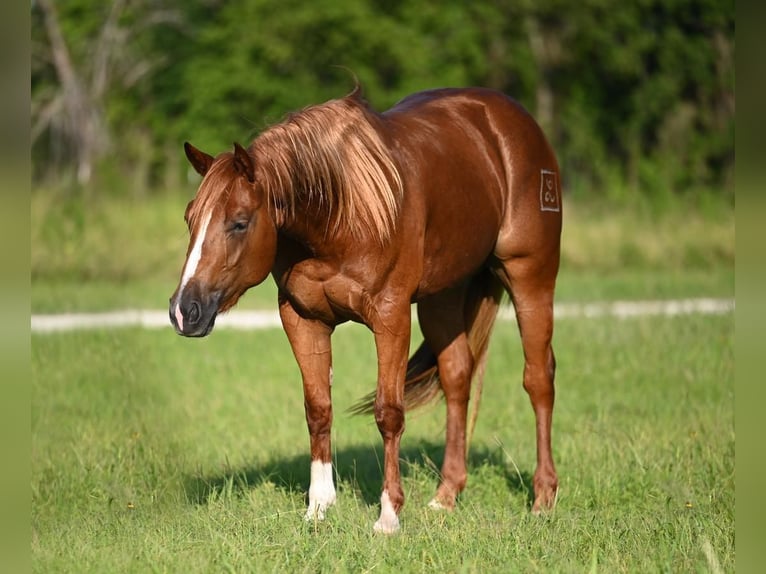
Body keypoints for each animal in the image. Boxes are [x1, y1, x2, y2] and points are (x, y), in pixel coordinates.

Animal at [170, 86, 564, 536]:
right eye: (190, 219)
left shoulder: (390, 318)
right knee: (456, 376)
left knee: (538, 379)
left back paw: (543, 498)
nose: (184, 311)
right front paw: (318, 507)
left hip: (531, 278)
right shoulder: (302, 319)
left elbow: (388, 412)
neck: (339, 214)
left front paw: (388, 515)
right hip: (443, 297)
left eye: (238, 222)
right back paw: (446, 496)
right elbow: (318, 408)